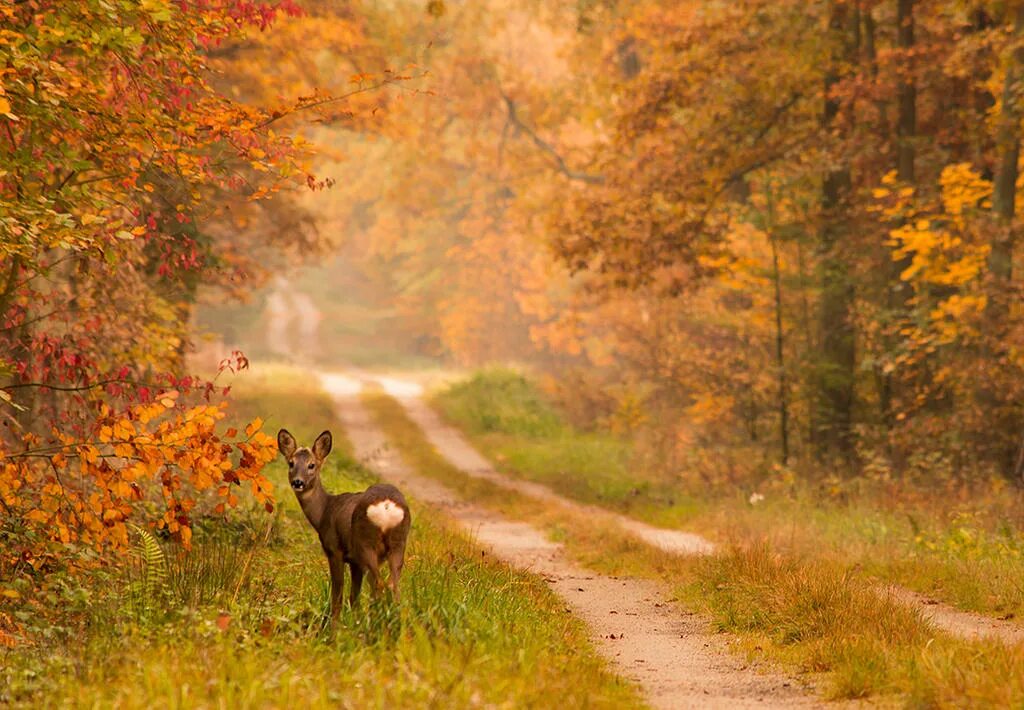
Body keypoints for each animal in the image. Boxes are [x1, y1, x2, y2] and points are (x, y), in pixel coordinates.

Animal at [280, 426, 411, 614]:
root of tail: (386, 505)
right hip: (398, 543)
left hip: (366, 543)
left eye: (311, 465)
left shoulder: (334, 549)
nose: (298, 482)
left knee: (378, 584)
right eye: (291, 463)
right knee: (394, 586)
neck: (324, 511)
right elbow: (353, 597)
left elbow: (338, 593)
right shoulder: (354, 562)